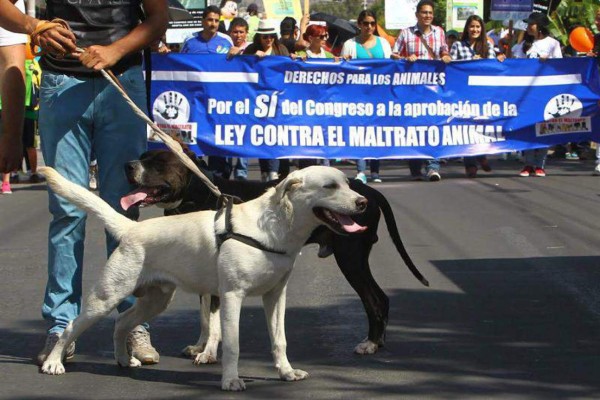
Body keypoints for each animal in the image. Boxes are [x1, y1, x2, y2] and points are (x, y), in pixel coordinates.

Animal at [38, 165, 366, 390]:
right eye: (330, 186)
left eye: (347, 183)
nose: (362, 202)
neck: (275, 227)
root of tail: (133, 228)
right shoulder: (232, 295)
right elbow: (232, 344)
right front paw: (231, 381)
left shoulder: (276, 296)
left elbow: (279, 340)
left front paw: (286, 373)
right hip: (106, 296)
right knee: (71, 326)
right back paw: (53, 362)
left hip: (156, 300)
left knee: (121, 322)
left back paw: (123, 359)